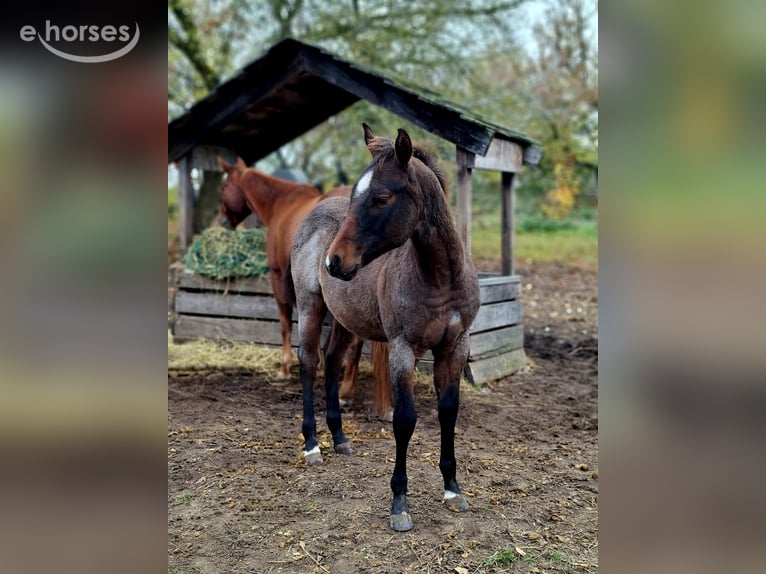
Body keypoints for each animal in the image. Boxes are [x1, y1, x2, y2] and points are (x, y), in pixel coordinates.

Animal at [216, 158, 392, 417]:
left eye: (225, 187)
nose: (222, 221)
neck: (280, 204)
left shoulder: (278, 277)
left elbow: (285, 323)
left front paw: (284, 368)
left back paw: (346, 392)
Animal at [291, 124, 480, 532]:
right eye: (354, 196)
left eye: (380, 198)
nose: (335, 261)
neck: (440, 279)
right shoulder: (403, 348)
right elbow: (404, 420)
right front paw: (400, 504)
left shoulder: (455, 346)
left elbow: (448, 411)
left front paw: (453, 490)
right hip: (310, 304)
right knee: (309, 361)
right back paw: (312, 445)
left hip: (346, 317)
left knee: (332, 361)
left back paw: (340, 437)